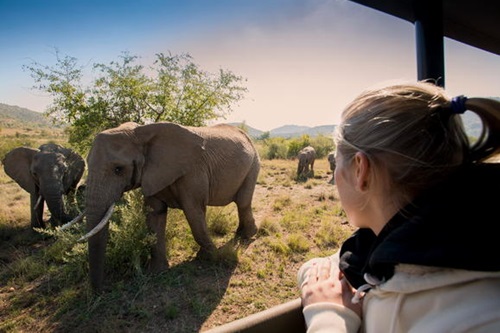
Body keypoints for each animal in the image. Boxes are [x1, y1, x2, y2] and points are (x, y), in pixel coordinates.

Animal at [81, 120, 262, 290]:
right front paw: (157, 272)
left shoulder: (193, 172)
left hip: (254, 163)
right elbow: (155, 216)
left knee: (243, 202)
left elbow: (193, 212)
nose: (101, 290)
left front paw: (210, 257)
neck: (140, 133)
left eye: (118, 169)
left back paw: (248, 236)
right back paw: (241, 234)